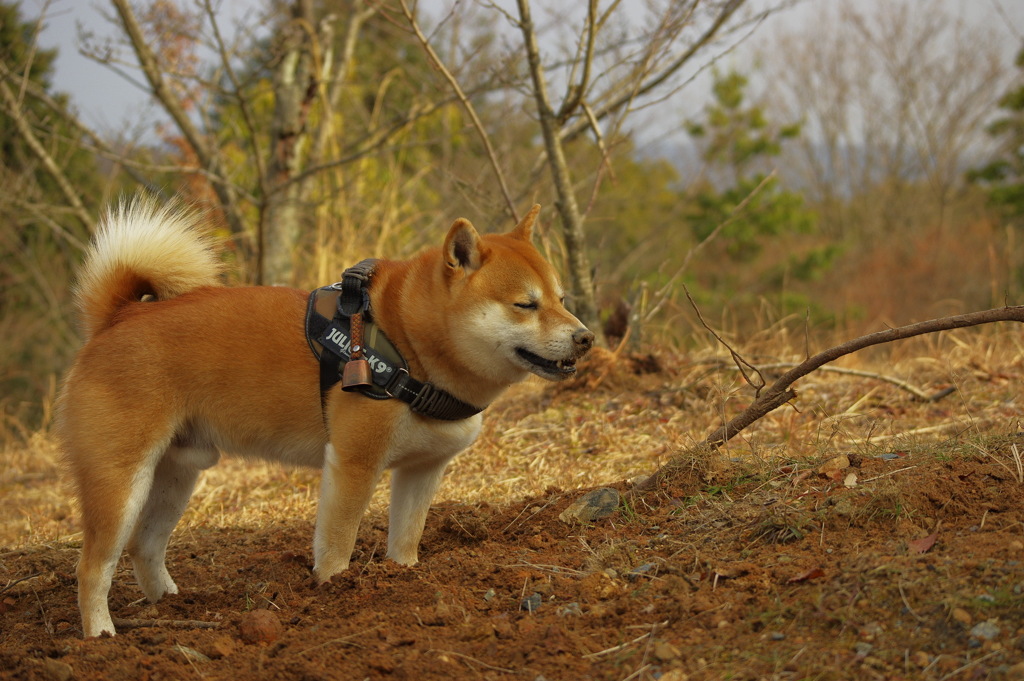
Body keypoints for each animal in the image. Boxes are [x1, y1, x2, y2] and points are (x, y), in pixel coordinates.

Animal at [56, 197, 598, 639]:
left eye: (561, 299)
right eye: (525, 304)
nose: (586, 337)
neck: (408, 343)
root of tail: (118, 318)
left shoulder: (422, 471)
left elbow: (407, 537)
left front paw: (403, 578)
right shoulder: (354, 463)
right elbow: (338, 543)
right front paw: (338, 590)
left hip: (177, 475)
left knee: (144, 547)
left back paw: (172, 606)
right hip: (121, 481)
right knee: (93, 567)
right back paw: (101, 635)